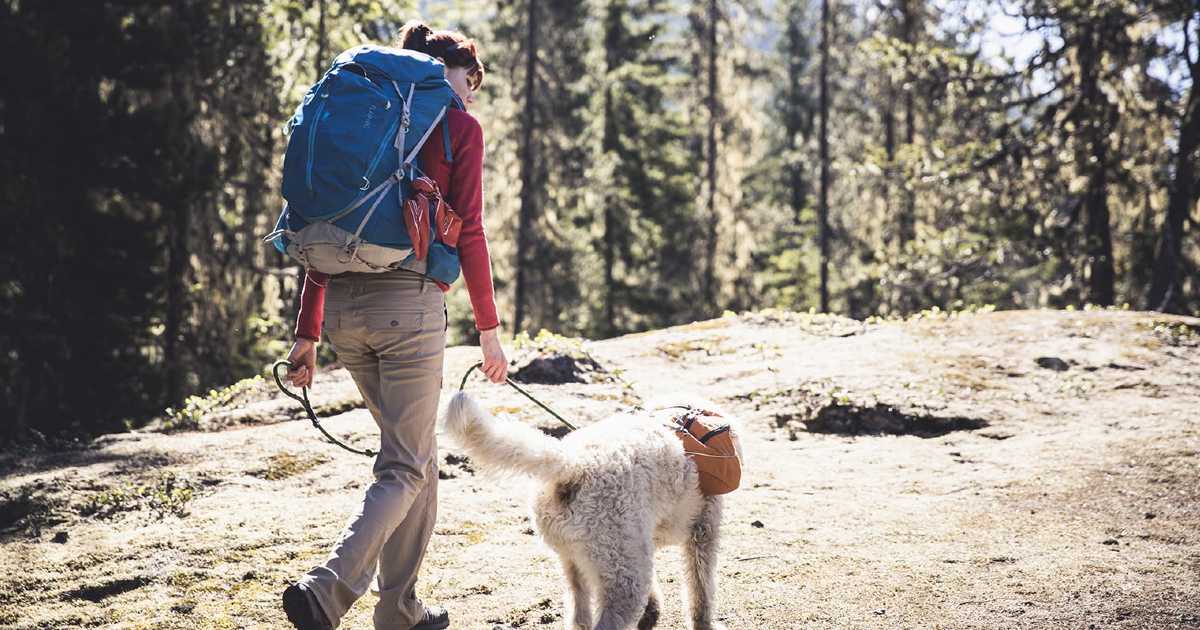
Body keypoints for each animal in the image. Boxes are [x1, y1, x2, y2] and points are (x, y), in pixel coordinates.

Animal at [446, 391, 734, 624]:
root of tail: (573, 466)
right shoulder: (702, 532)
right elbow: (701, 591)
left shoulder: (642, 541)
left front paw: (651, 612)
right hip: (623, 576)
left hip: (579, 563)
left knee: (579, 616)